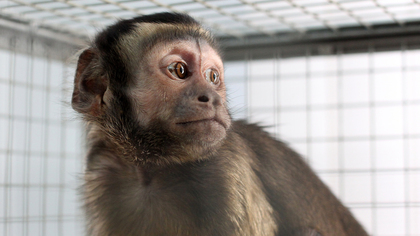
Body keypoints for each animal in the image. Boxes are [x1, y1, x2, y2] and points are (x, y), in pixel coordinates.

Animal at [71, 12, 368, 236]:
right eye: (179, 70)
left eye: (212, 76)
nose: (211, 98)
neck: (155, 168)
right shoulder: (103, 168)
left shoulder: (227, 169)